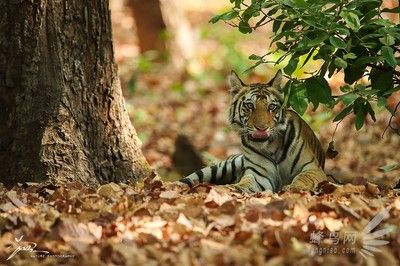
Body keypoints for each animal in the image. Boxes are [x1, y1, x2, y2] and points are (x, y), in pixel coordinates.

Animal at [179, 69, 328, 192]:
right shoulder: (259, 175)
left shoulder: (313, 168)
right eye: (250, 105)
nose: (262, 128)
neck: (272, 147)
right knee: (190, 178)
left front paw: (294, 188)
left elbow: (303, 178)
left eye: (271, 107)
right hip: (226, 165)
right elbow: (247, 181)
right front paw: (236, 188)